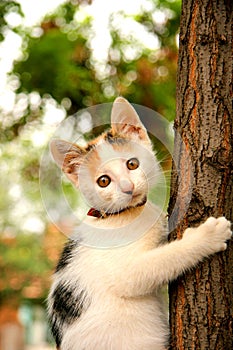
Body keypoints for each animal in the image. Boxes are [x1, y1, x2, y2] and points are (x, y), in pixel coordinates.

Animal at [47, 96, 231, 350]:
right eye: (103, 181)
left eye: (132, 164)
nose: (128, 187)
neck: (120, 216)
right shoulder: (123, 271)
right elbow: (163, 260)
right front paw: (208, 236)